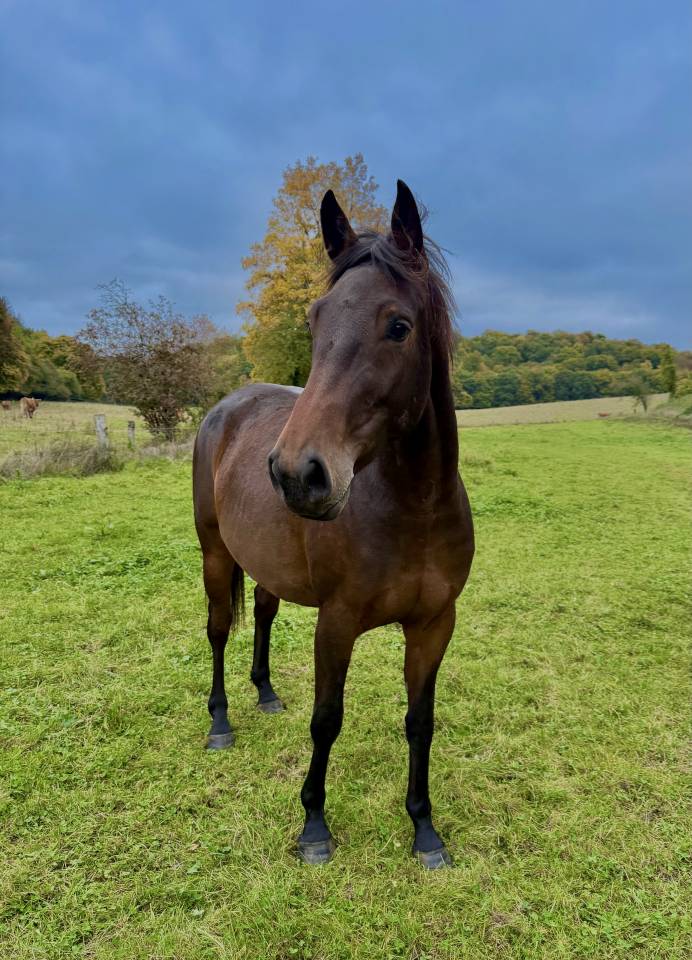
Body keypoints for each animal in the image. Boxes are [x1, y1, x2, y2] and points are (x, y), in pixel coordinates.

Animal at [193, 180, 474, 868]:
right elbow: (327, 719)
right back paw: (221, 722)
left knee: (263, 614)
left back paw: (265, 693)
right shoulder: (337, 622)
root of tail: (225, 409)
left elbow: (420, 721)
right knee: (218, 631)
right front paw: (314, 826)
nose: (298, 473)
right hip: (214, 554)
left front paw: (424, 828)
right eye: (314, 321)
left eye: (398, 326)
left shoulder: (434, 624)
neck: (414, 511)